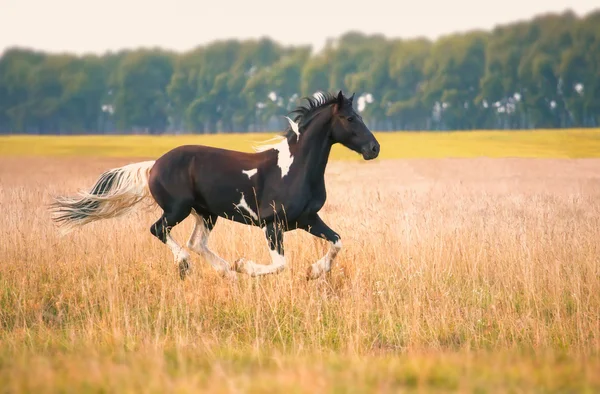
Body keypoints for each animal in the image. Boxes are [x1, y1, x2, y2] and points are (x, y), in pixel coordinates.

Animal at [50, 90, 380, 280]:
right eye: (350, 118)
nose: (374, 148)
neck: (295, 168)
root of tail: (154, 165)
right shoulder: (272, 224)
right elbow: (280, 263)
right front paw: (244, 266)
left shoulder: (307, 219)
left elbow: (337, 241)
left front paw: (313, 272)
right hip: (178, 209)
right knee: (160, 231)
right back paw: (188, 266)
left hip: (206, 213)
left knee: (196, 243)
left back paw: (225, 272)